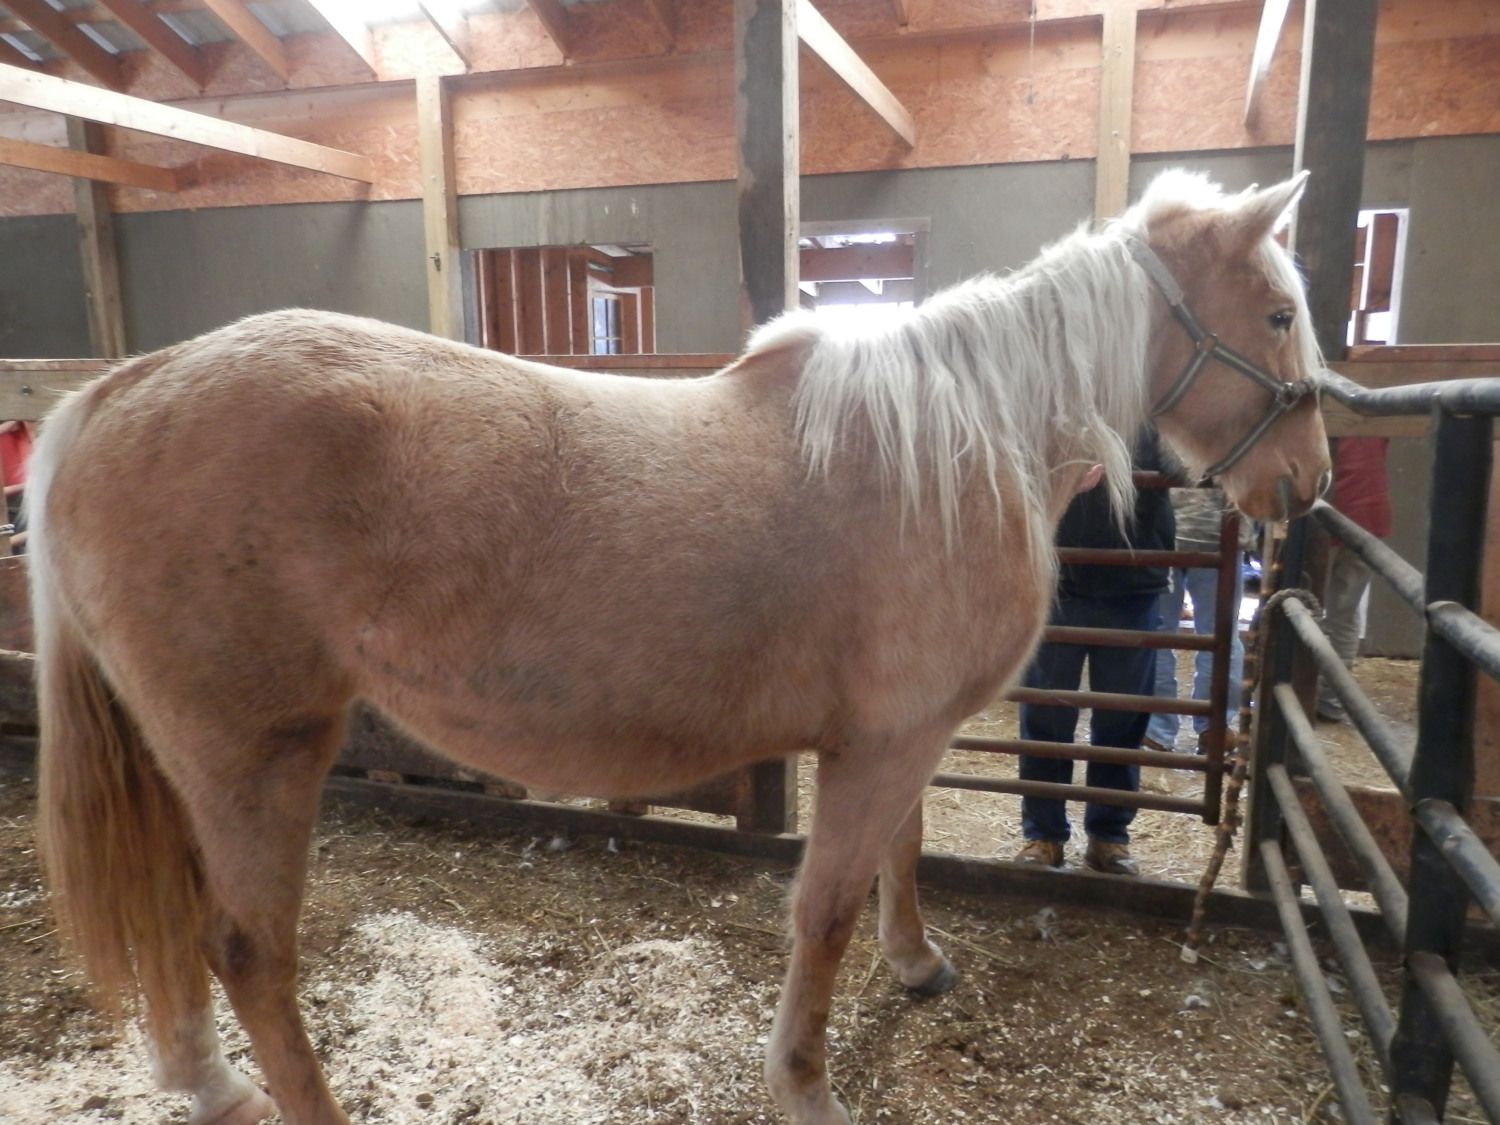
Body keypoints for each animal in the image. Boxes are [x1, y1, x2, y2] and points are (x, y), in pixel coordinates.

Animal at [30, 168, 1328, 1125]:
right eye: (1277, 313)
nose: (1307, 483)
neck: (962, 437)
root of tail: (112, 394)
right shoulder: (884, 743)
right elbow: (827, 908)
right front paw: (804, 1085)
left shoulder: (900, 736)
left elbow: (899, 856)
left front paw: (918, 967)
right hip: (260, 753)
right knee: (248, 951)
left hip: (187, 759)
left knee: (181, 926)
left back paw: (207, 1082)